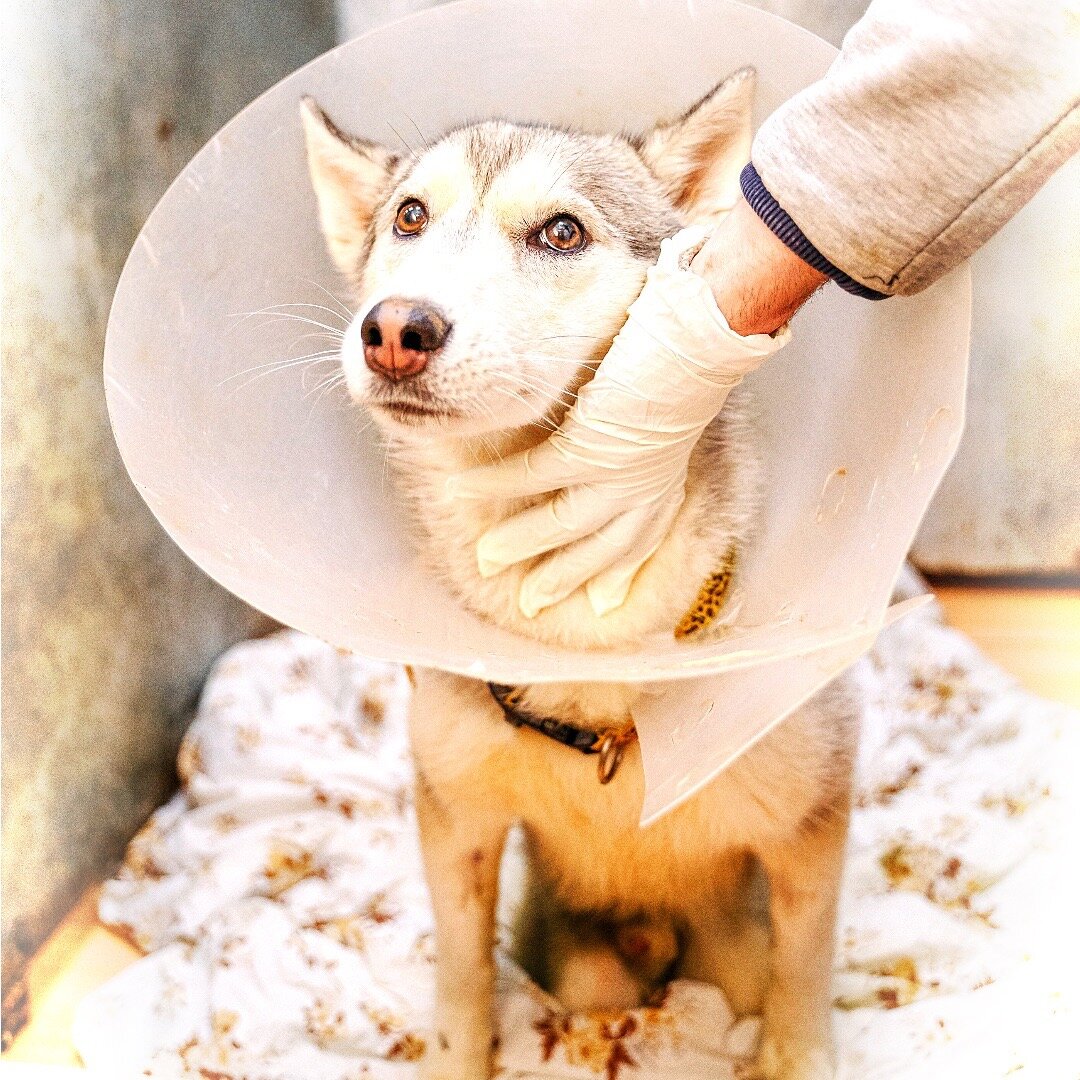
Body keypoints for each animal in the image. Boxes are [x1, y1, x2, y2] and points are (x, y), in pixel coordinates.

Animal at [300, 69, 855, 1080]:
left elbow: (800, 981)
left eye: (562, 232)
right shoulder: (461, 824)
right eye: (409, 217)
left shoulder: (809, 825)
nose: (394, 329)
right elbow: (461, 984)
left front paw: (794, 1053)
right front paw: (460, 1050)